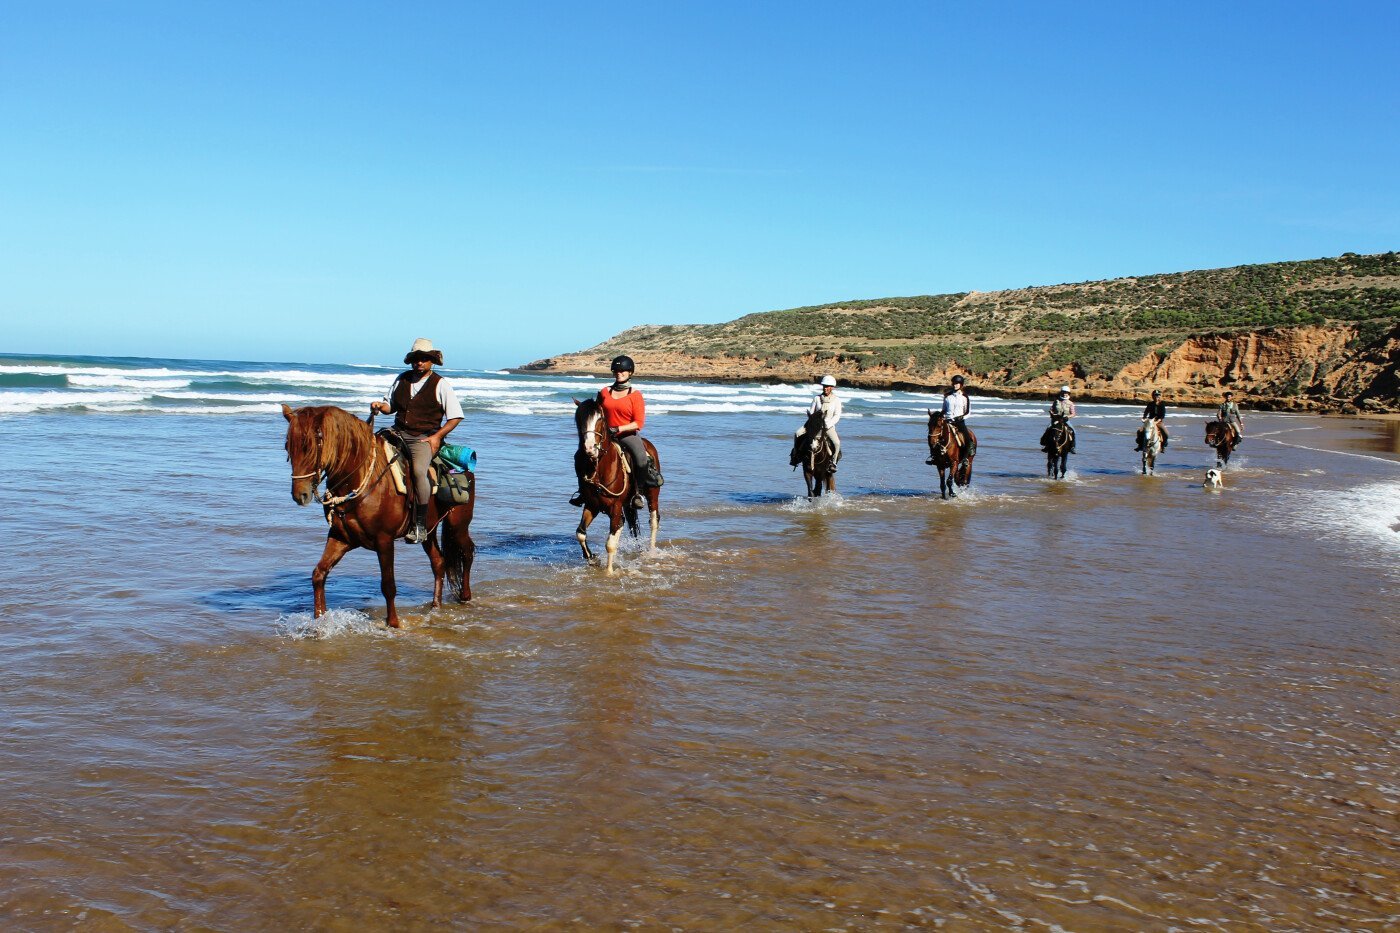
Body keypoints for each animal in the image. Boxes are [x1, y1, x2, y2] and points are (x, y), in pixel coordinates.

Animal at [282, 404, 475, 628]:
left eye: (310, 447)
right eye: (288, 447)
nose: (300, 495)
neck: (360, 480)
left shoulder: (384, 540)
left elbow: (388, 585)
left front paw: (393, 624)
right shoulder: (341, 538)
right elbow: (318, 575)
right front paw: (319, 620)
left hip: (457, 525)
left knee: (467, 551)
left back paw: (465, 597)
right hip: (429, 530)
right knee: (439, 562)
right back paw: (435, 606)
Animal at [573, 397, 660, 574]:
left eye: (600, 418)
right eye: (578, 419)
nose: (589, 448)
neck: (599, 469)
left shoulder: (615, 508)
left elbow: (611, 543)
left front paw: (609, 572)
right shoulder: (592, 505)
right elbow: (580, 533)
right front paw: (592, 559)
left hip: (653, 495)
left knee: (653, 521)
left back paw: (651, 552)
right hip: (628, 504)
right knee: (634, 527)